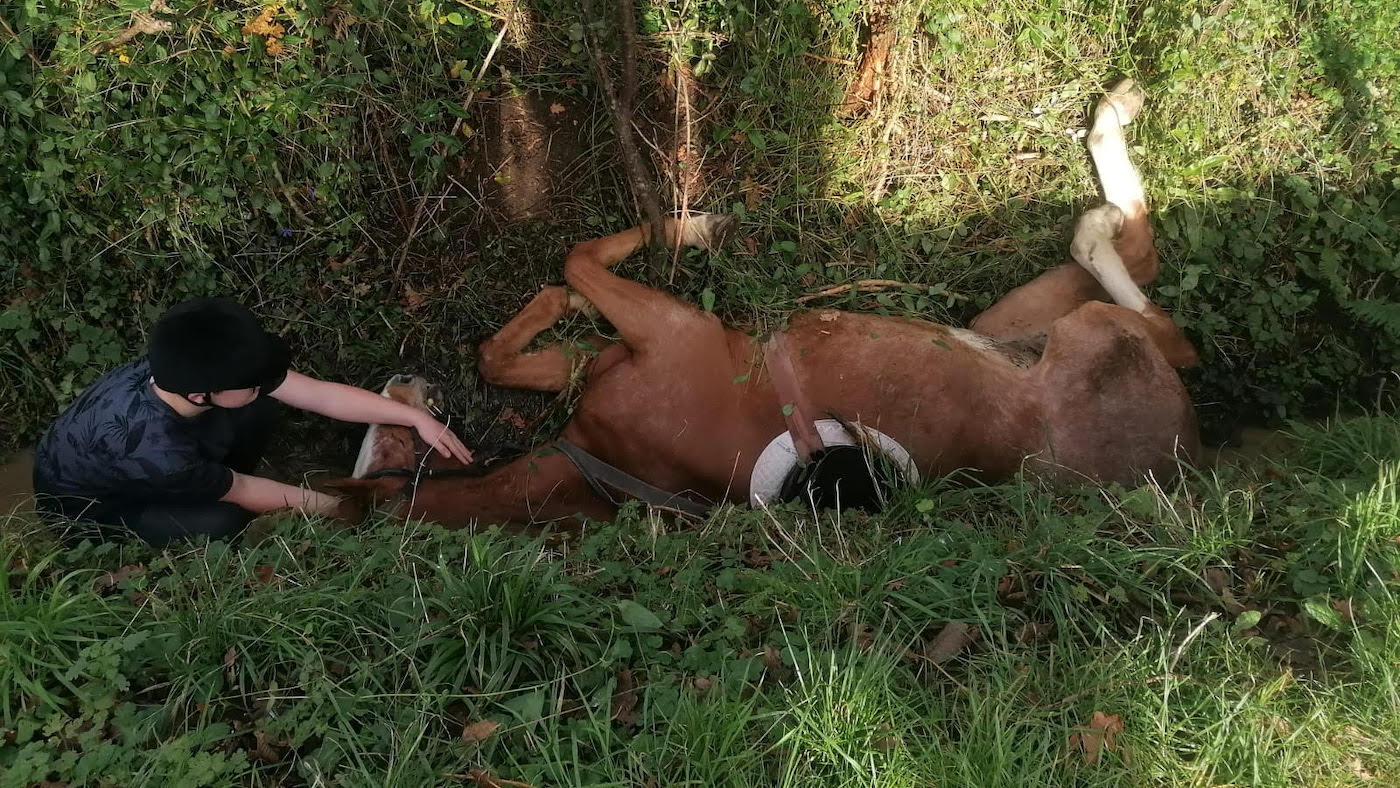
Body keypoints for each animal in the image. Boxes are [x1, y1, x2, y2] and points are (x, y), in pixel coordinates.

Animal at [333, 80, 1199, 528]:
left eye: (380, 437)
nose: (403, 381)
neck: (601, 459)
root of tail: (1179, 452)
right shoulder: (657, 336)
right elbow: (535, 310)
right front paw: (683, 231)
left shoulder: (648, 335)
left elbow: (533, 311)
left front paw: (658, 241)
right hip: (1058, 328)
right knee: (1150, 292)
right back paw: (1108, 157)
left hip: (1034, 320)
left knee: (1147, 279)